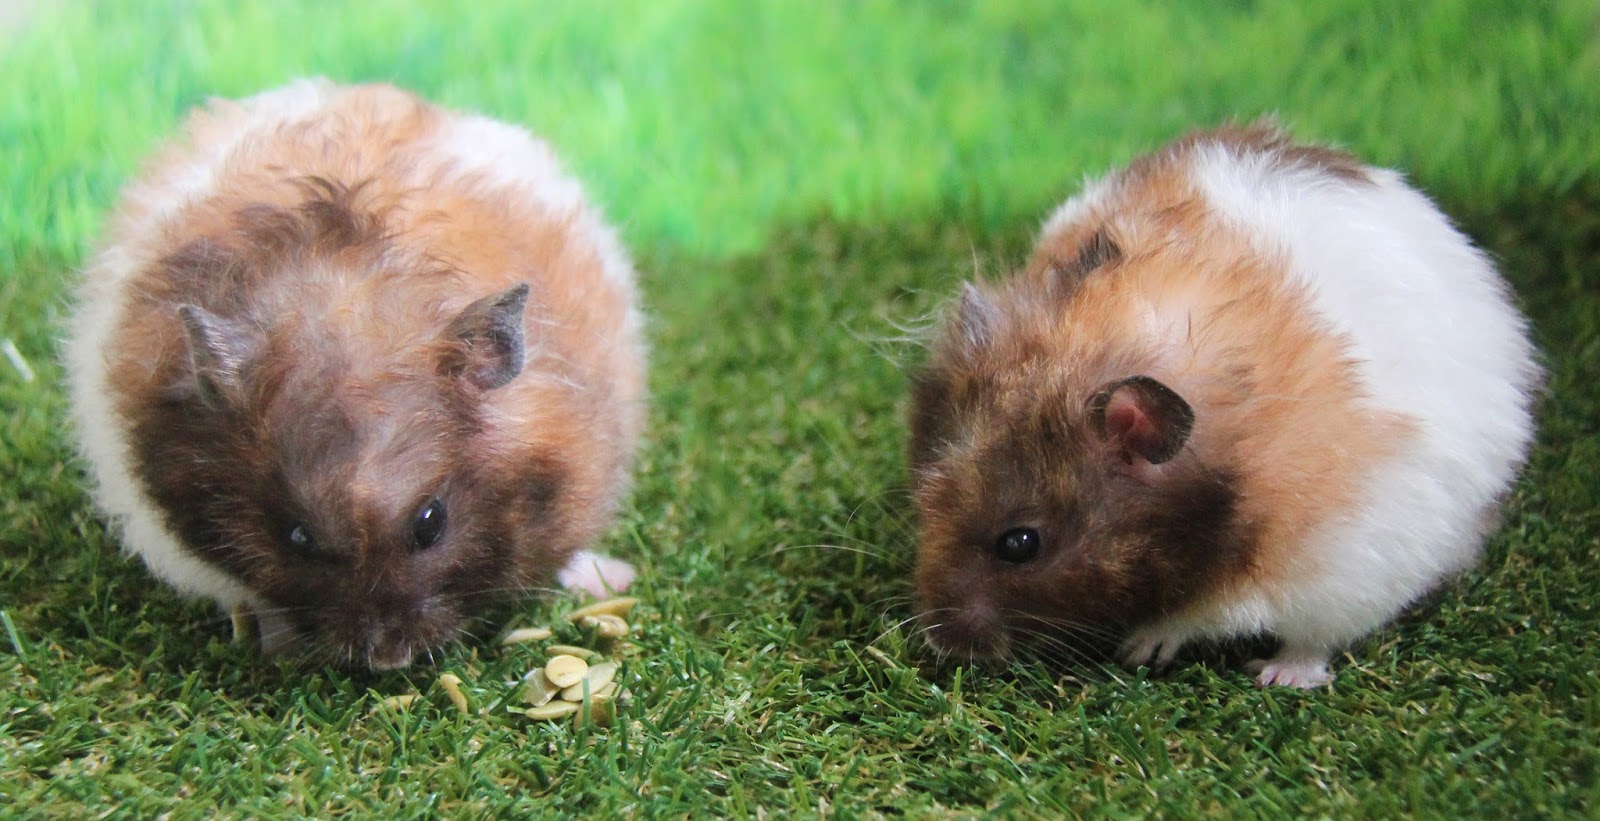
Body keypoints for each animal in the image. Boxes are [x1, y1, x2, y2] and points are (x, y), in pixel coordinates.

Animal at [907, 123, 1539, 688]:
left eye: (1020, 544)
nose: (940, 642)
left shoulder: (1339, 552)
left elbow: (1211, 615)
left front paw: (1143, 648)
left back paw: (1280, 676)